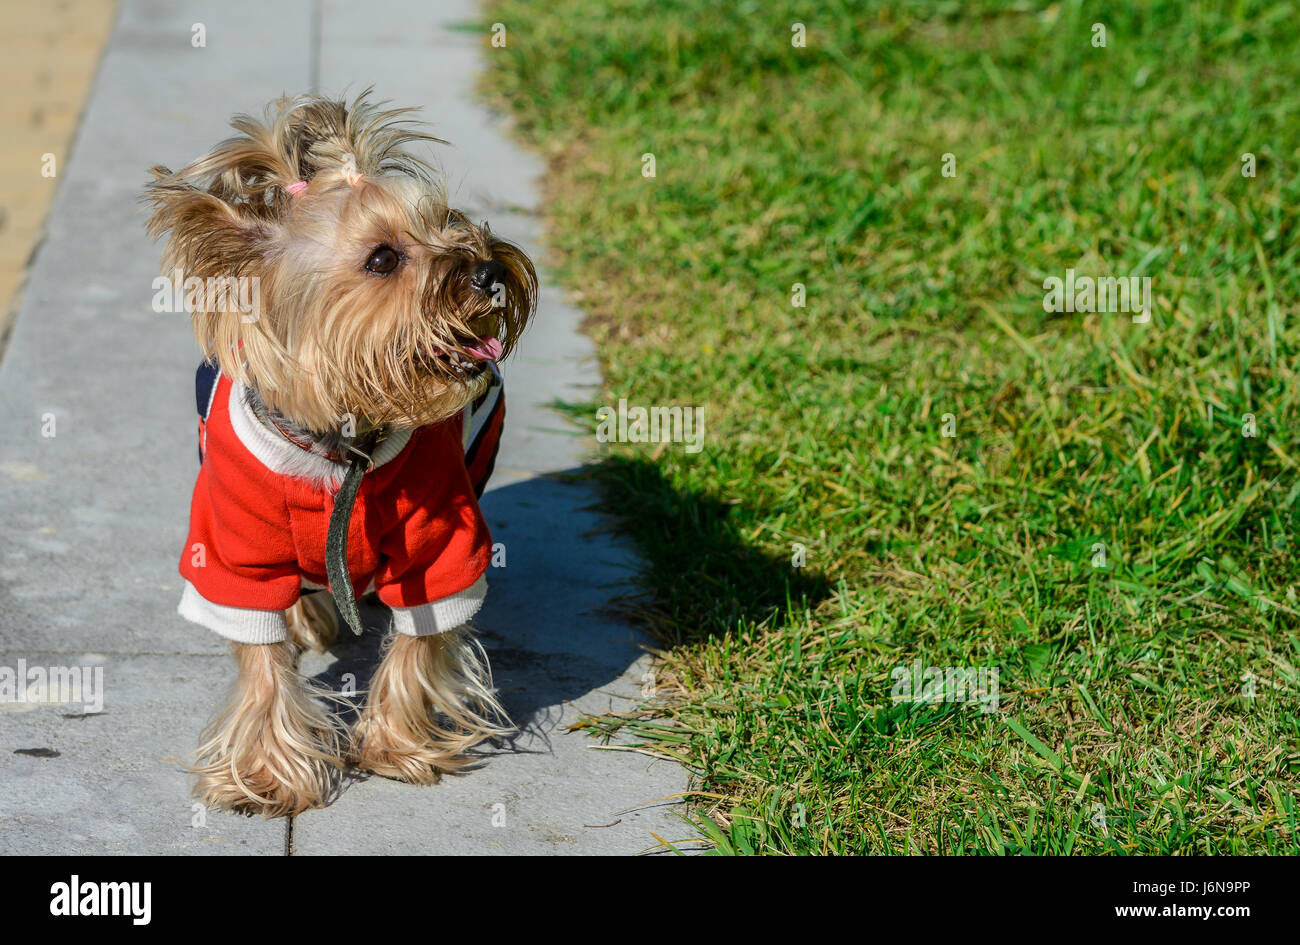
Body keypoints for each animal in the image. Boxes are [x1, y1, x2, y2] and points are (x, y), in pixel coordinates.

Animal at [146, 96, 538, 821]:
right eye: (382, 258)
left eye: (449, 219)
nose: (489, 269)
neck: (341, 447)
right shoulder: (235, 552)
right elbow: (261, 661)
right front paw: (267, 775)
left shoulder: (439, 544)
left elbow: (421, 639)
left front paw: (396, 746)